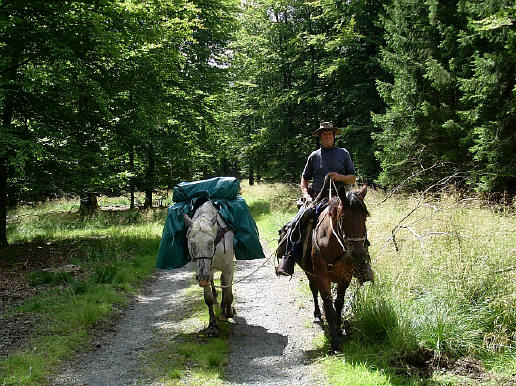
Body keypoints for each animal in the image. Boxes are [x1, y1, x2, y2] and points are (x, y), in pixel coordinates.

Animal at [183, 201, 236, 336]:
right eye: (192, 243)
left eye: (211, 242)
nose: (202, 279)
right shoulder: (203, 271)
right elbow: (208, 299)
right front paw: (213, 325)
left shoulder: (228, 267)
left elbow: (227, 292)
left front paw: (227, 312)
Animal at [302, 184, 370, 352]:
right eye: (344, 218)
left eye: (365, 217)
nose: (358, 253)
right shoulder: (322, 277)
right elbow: (329, 307)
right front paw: (334, 342)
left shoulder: (345, 277)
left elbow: (338, 304)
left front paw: (339, 330)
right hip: (310, 274)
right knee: (314, 290)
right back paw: (317, 316)